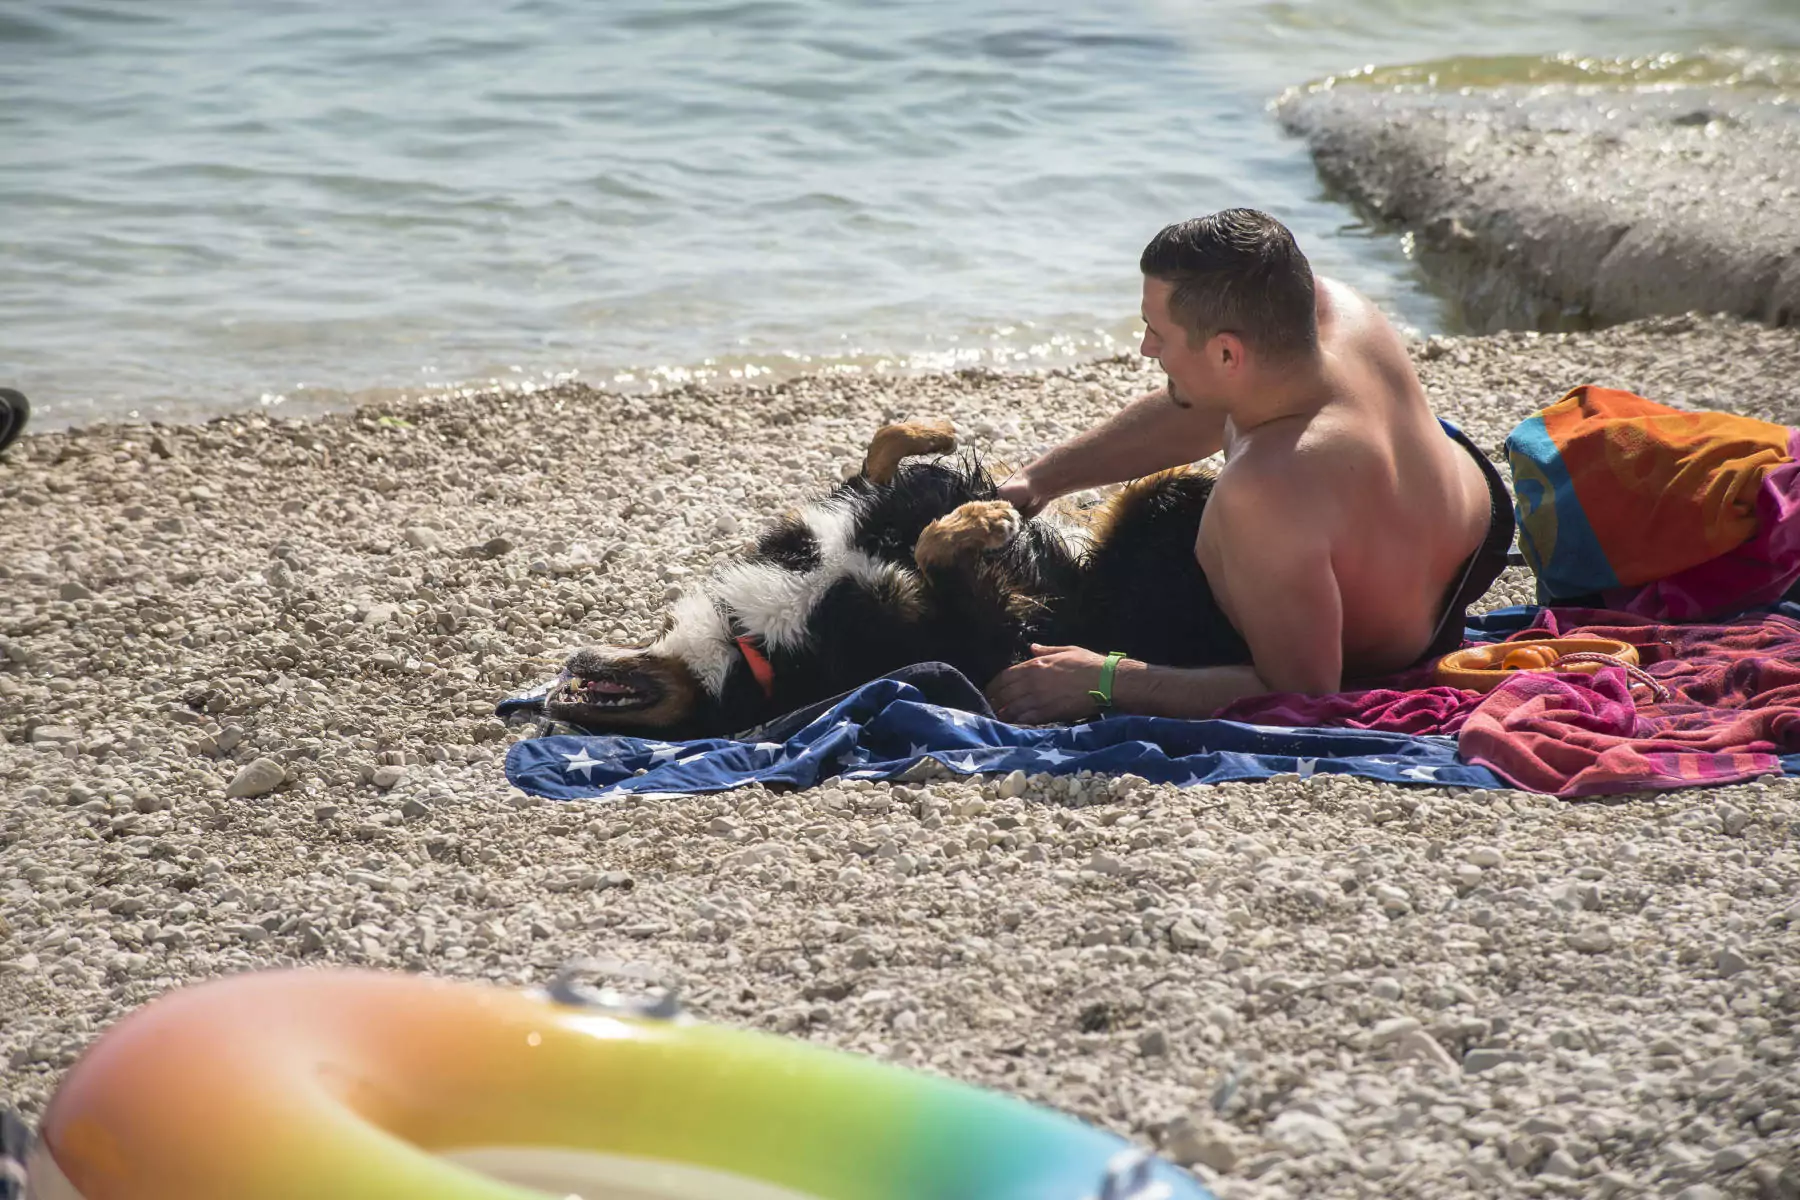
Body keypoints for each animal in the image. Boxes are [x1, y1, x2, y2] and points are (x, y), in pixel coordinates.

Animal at [550, 422, 1252, 741]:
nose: (559, 686)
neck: (747, 641)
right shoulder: (983, 635)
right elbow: (933, 551)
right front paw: (978, 519)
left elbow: (880, 457)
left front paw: (932, 436)